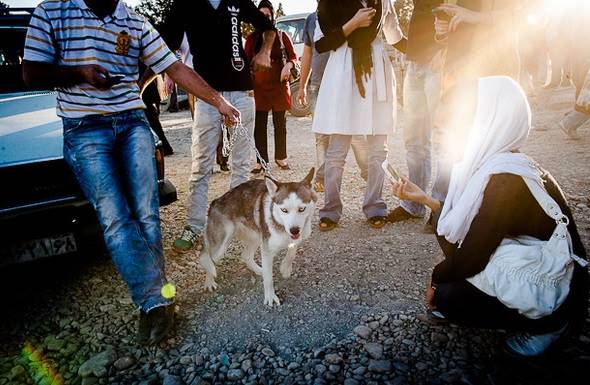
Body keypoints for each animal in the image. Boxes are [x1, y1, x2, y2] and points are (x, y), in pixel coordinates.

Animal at [200, 168, 320, 306]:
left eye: (302, 209)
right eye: (284, 210)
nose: (294, 230)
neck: (281, 226)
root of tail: (215, 201)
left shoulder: (300, 235)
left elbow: (292, 251)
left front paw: (285, 268)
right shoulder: (267, 249)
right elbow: (268, 279)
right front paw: (270, 297)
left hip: (256, 236)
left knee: (245, 255)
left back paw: (259, 270)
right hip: (222, 242)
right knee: (206, 258)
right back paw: (209, 282)